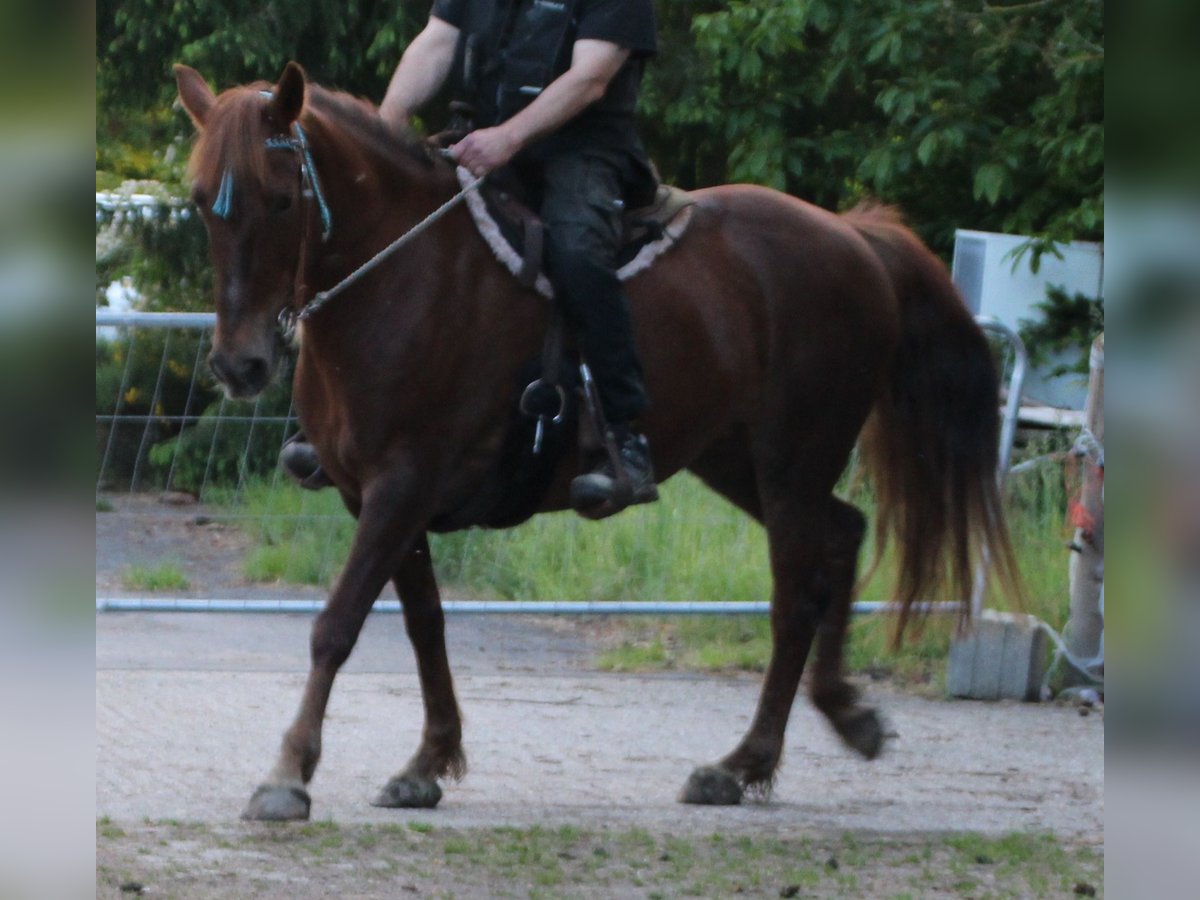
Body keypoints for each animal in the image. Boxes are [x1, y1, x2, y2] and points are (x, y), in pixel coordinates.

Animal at [175, 61, 1022, 825]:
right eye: (201, 205)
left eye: (281, 200)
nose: (239, 365)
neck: (403, 277)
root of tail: (854, 236)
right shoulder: (376, 496)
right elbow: (424, 625)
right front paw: (428, 761)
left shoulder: (401, 486)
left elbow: (337, 626)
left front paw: (288, 775)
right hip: (735, 458)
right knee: (843, 536)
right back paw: (844, 715)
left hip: (793, 461)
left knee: (795, 596)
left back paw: (740, 764)